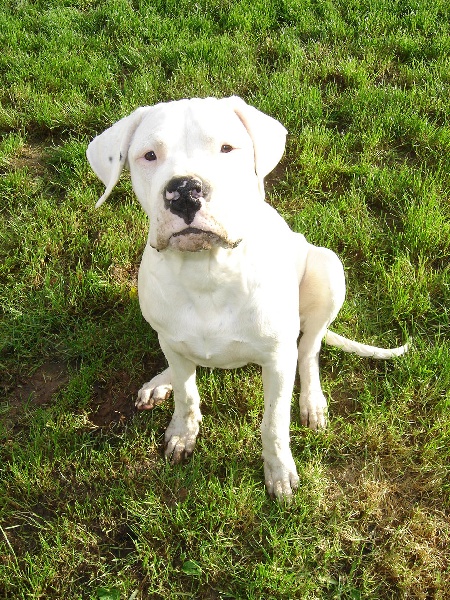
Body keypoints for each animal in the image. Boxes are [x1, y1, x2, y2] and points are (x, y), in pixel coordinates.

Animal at [88, 96, 408, 502]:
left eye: (227, 148)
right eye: (149, 155)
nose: (184, 190)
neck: (206, 272)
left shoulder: (277, 360)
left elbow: (273, 422)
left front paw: (279, 473)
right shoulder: (172, 339)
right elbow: (187, 395)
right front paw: (182, 433)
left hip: (327, 268)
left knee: (310, 347)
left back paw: (312, 401)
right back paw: (161, 381)